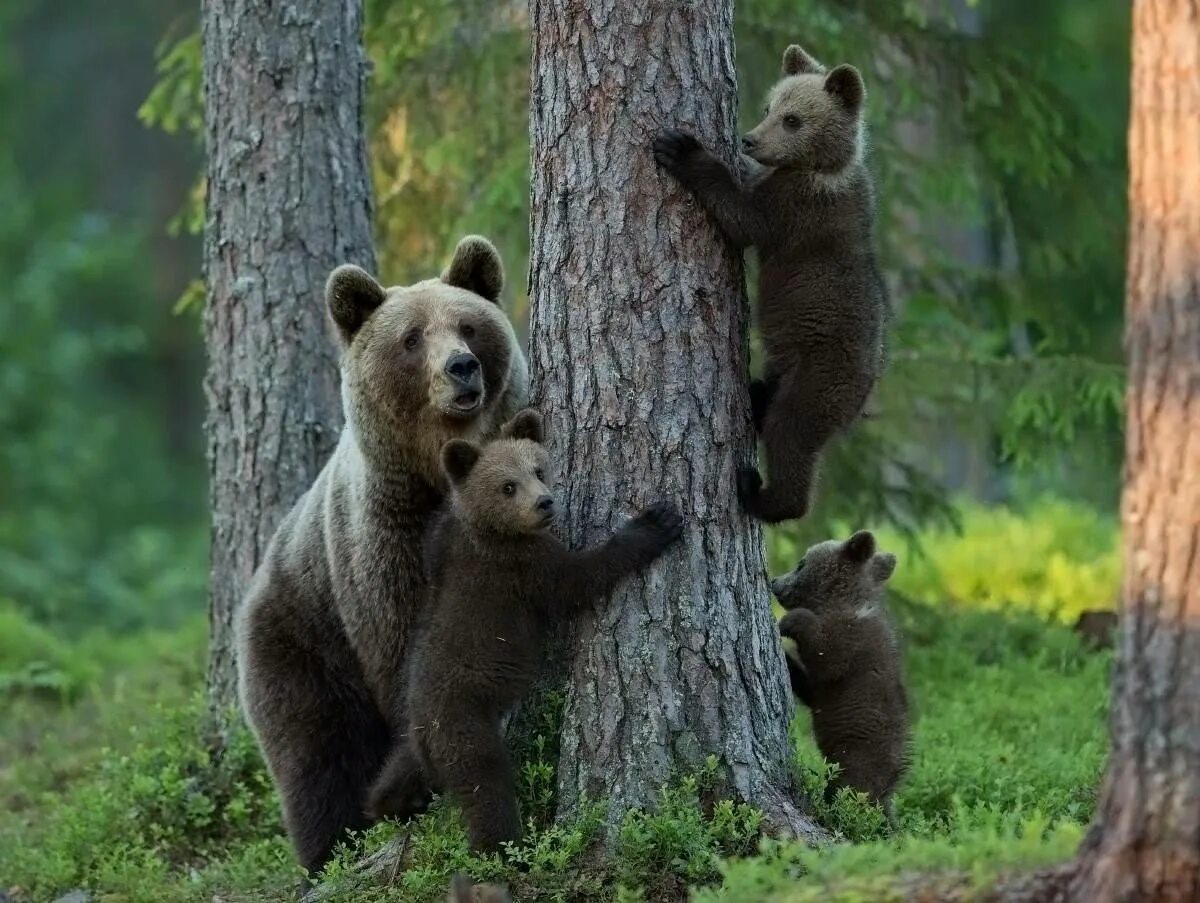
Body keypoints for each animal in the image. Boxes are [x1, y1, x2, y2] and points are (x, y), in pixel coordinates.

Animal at [236, 236, 528, 869]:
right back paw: (326, 853)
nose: (460, 366)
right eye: (412, 338)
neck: (436, 471)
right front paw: (413, 781)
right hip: (301, 639)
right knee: (316, 756)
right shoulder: (383, 537)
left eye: (468, 325)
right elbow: (401, 644)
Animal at [364, 408, 686, 854]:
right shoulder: (521, 567)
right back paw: (503, 848)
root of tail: (425, 735)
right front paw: (656, 523)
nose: (545, 502)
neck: (489, 528)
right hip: (464, 724)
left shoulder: (442, 542)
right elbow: (579, 579)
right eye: (507, 486)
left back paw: (389, 804)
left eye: (538, 469)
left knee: (395, 769)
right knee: (486, 785)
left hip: (414, 737)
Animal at [652, 44, 888, 521]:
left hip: (820, 376)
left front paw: (682, 149)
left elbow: (742, 217)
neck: (822, 167)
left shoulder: (796, 211)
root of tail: (864, 394)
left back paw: (760, 493)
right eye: (769, 107)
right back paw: (756, 395)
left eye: (793, 119)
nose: (749, 139)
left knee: (791, 435)